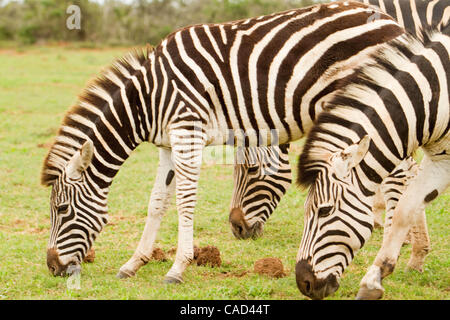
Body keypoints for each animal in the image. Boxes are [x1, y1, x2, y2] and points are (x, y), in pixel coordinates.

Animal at [40, 1, 404, 282]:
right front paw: (133, 263)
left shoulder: (187, 131)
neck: (147, 99)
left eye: (61, 209)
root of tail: (390, 22)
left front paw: (177, 268)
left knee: (399, 177)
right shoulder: (168, 144)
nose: (53, 267)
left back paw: (386, 264)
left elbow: (184, 201)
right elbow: (157, 201)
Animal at [296, 28, 446, 300]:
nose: (304, 284)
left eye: (325, 211)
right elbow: (404, 210)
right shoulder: (441, 159)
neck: (433, 98)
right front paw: (373, 280)